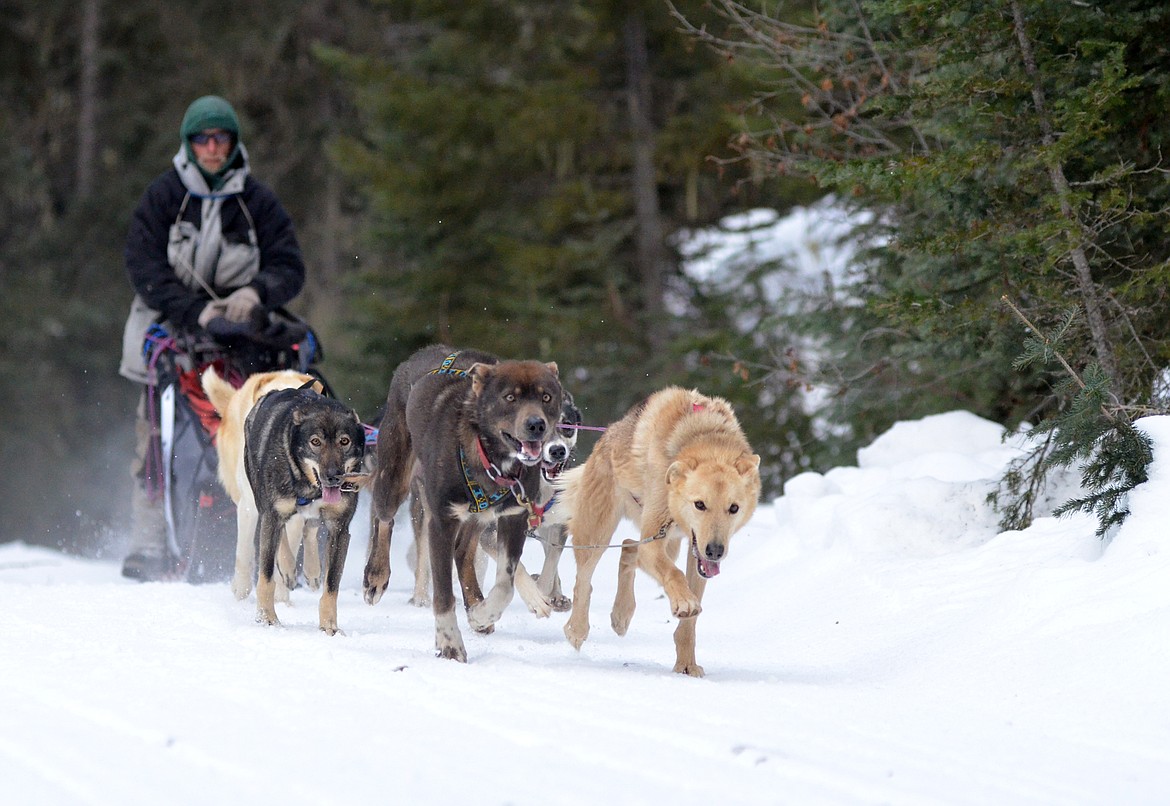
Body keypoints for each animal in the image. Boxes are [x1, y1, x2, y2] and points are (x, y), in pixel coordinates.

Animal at [200, 367, 320, 598]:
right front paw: (241, 590)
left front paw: (282, 598)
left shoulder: (294, 512)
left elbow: (287, 553)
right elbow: (245, 551)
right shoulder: (250, 505)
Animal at [248, 386, 369, 636]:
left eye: (344, 441)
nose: (334, 476)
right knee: (282, 537)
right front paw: (266, 618)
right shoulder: (271, 516)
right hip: (264, 504)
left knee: (310, 528)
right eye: (315, 441)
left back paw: (311, 570)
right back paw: (287, 567)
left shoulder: (339, 529)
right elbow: (266, 576)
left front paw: (329, 626)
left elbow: (331, 585)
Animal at [365, 341, 566, 664]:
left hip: (478, 516)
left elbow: (505, 585)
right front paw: (449, 644)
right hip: (394, 479)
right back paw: (375, 576)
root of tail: (420, 354)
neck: (492, 461)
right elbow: (443, 593)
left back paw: (475, 602)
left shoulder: (512, 517)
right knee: (382, 517)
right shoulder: (442, 521)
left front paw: (481, 614)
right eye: (510, 397)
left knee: (463, 553)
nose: (537, 424)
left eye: (546, 397)